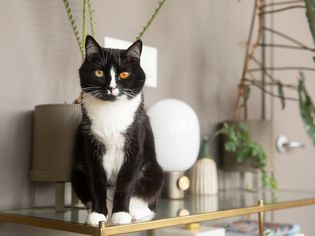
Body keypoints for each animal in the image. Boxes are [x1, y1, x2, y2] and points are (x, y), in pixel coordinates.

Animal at [72, 35, 164, 225]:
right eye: (99, 73)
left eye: (124, 74)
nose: (111, 88)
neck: (111, 111)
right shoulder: (92, 147)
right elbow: (96, 181)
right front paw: (98, 214)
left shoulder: (135, 145)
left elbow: (126, 182)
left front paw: (121, 213)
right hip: (77, 172)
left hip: (155, 172)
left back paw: (137, 212)